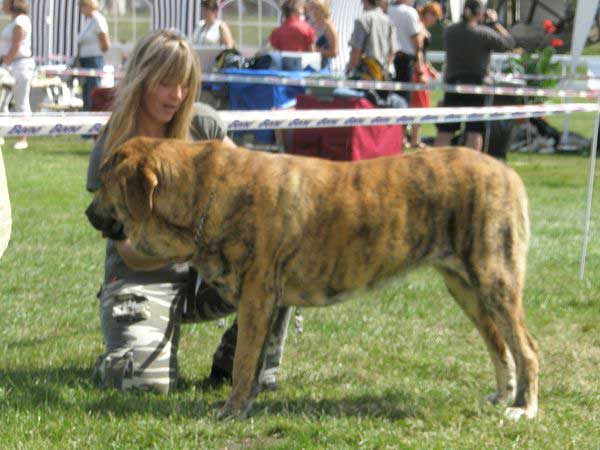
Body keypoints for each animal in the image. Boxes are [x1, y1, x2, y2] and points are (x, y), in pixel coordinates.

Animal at [88, 138, 540, 422]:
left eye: (105, 182)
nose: (88, 212)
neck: (205, 192)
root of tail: (509, 172)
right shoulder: (268, 303)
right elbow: (255, 362)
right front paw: (246, 406)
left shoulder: (256, 297)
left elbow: (243, 362)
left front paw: (229, 411)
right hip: (466, 289)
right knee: (500, 346)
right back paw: (503, 395)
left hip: (495, 280)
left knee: (527, 349)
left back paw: (523, 408)